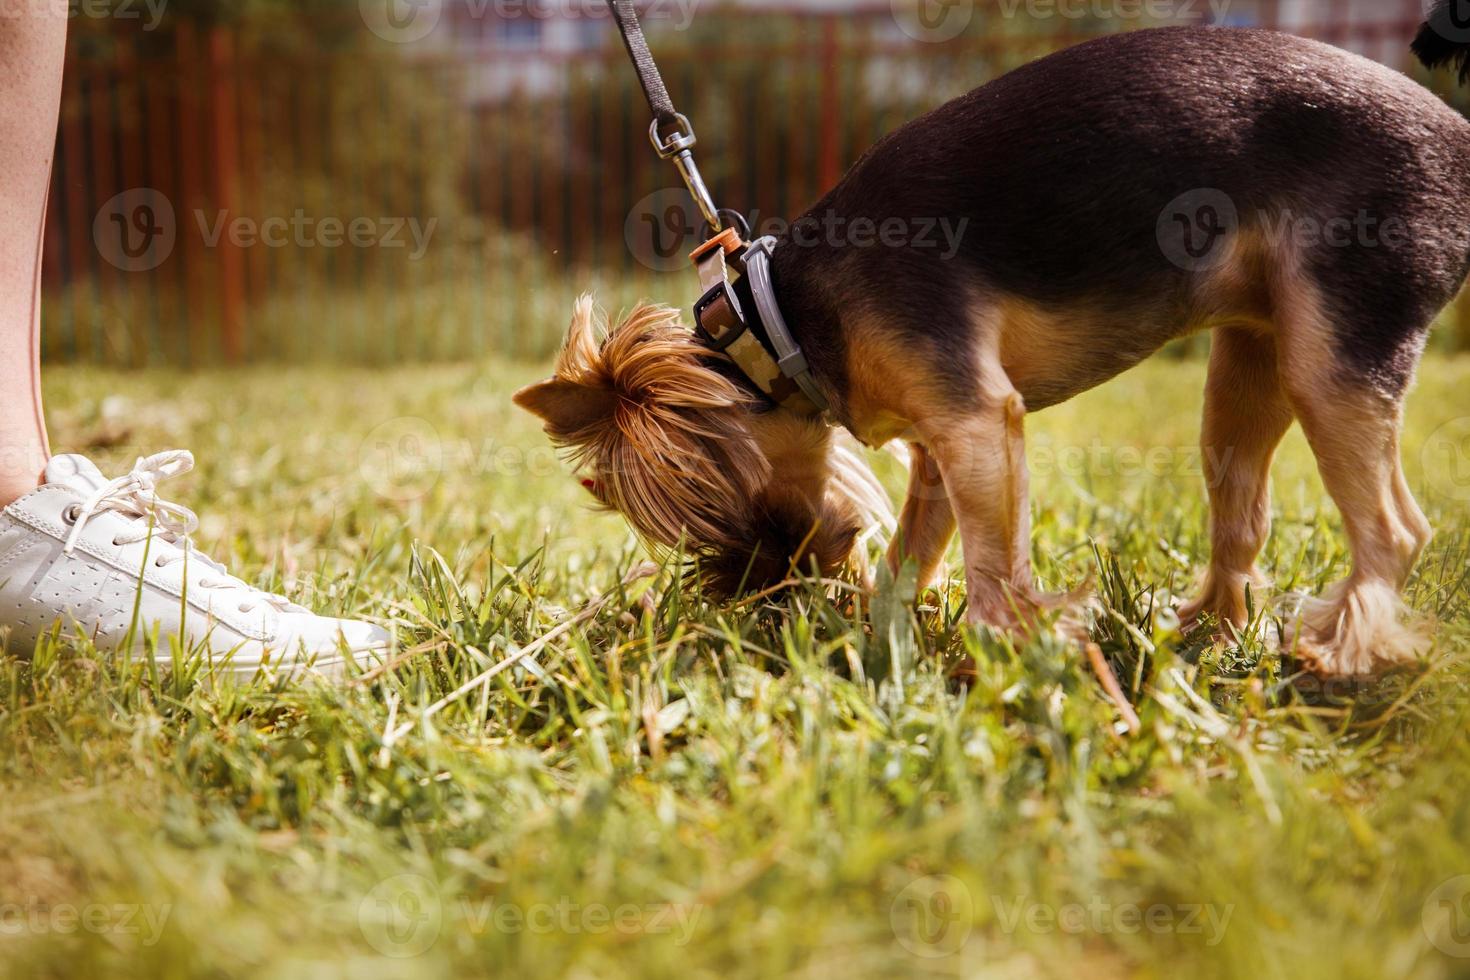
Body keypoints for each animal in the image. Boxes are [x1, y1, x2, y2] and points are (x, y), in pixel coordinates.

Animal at [514, 11, 1470, 678]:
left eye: (730, 515)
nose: (769, 596)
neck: (779, 327)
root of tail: (1459, 144)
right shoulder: (944, 443)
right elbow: (913, 552)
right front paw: (878, 636)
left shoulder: (976, 419)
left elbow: (993, 567)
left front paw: (1008, 651)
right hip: (1249, 362)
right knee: (1243, 508)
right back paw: (1201, 632)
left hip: (1335, 344)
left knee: (1396, 526)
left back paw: (1341, 655)